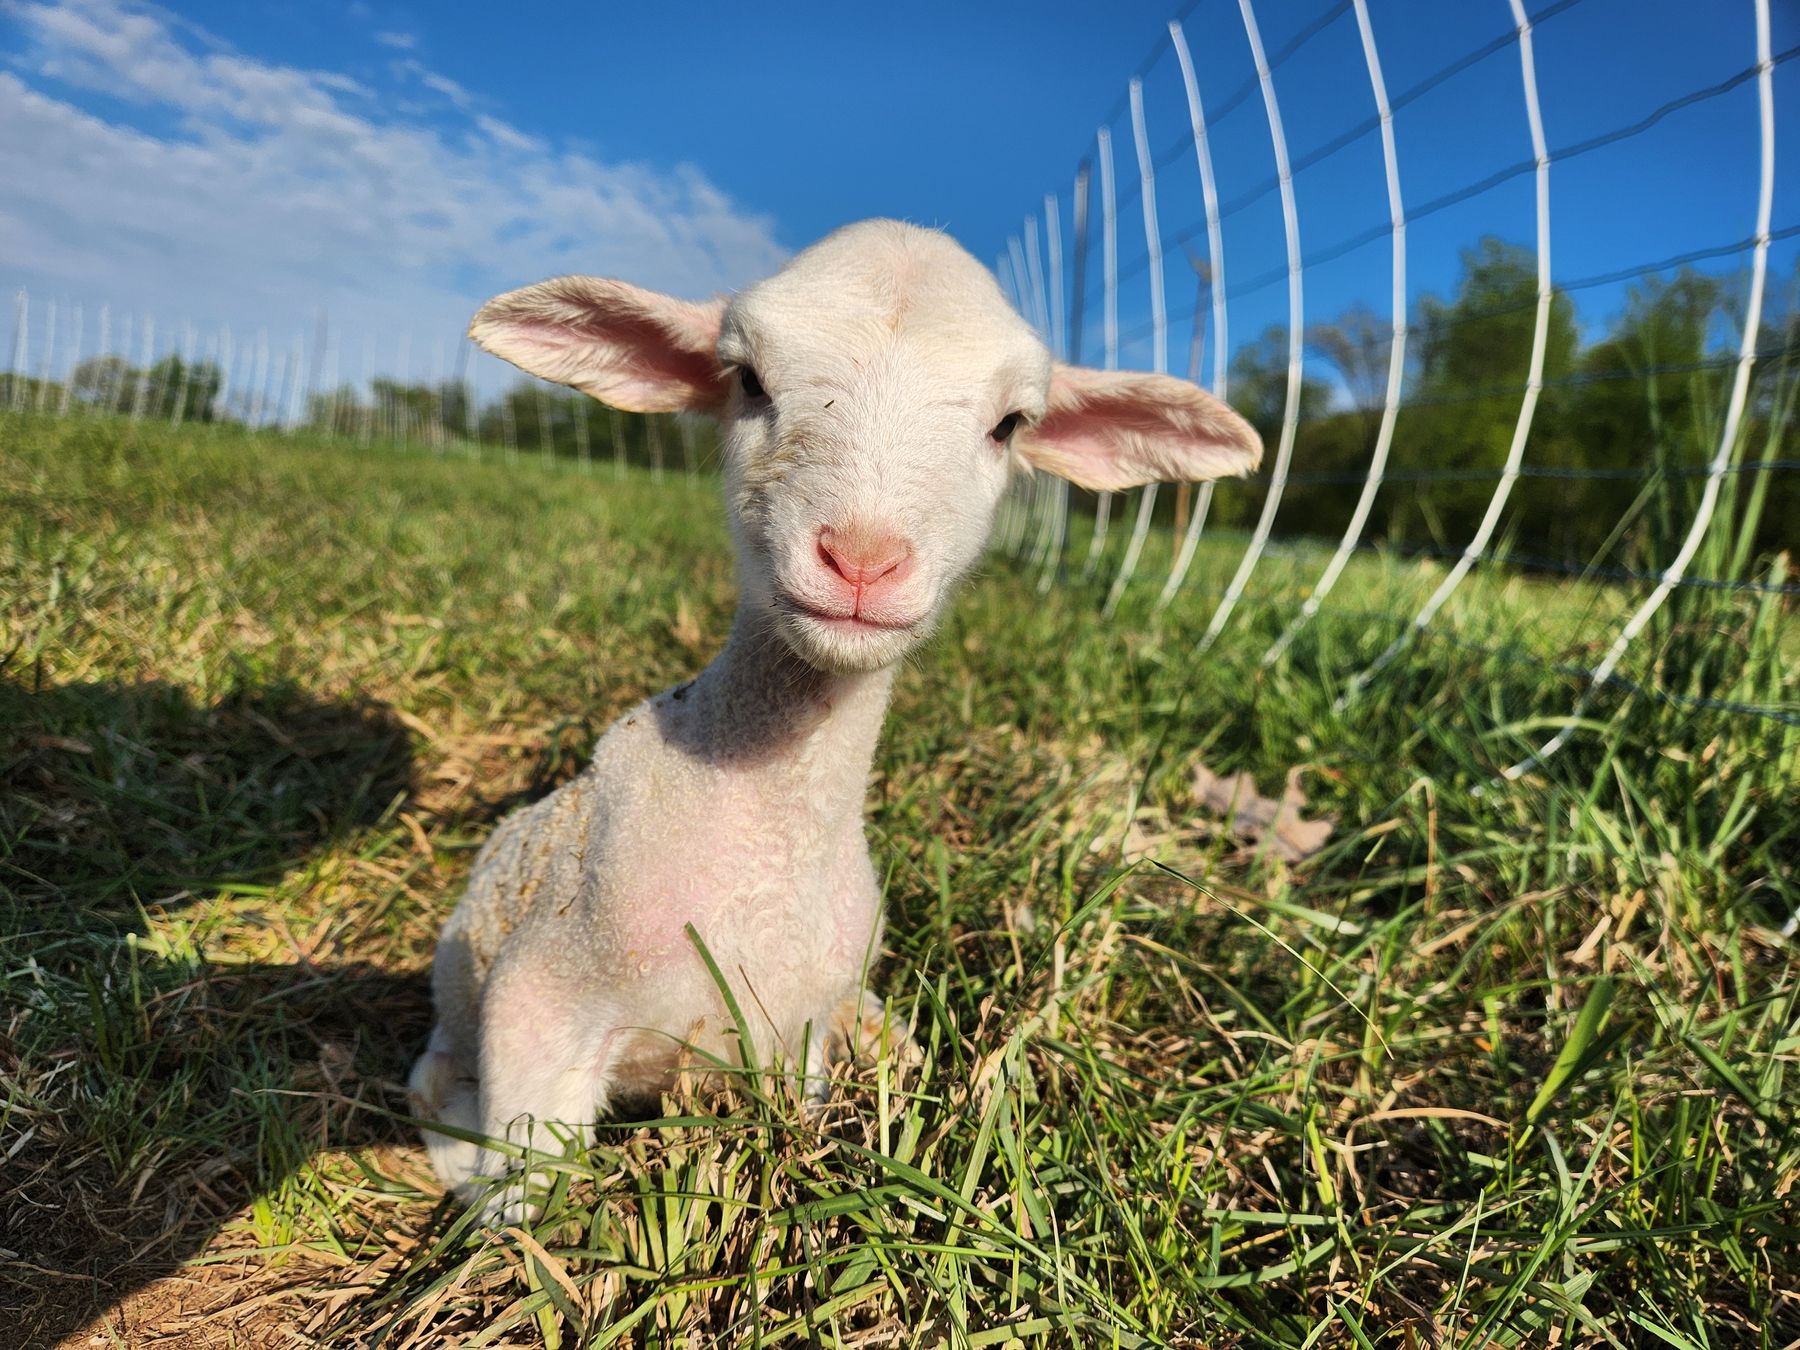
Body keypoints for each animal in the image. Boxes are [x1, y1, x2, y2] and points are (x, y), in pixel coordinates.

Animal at [408, 219, 1261, 1215]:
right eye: (746, 379)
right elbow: (530, 1204)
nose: (861, 558)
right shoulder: (538, 1006)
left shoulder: (798, 1033)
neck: (765, 850)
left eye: (1011, 425)